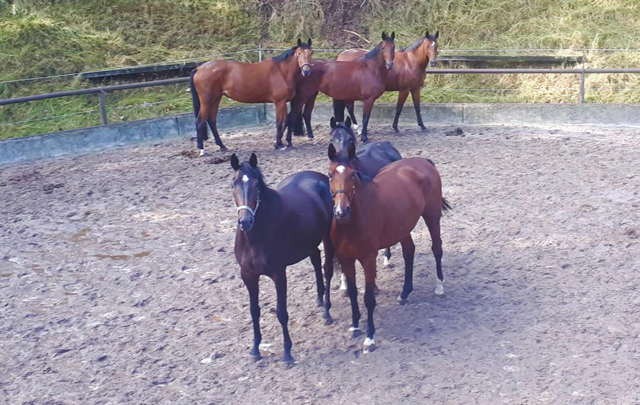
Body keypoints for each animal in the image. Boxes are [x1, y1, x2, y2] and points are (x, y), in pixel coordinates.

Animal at [234, 153, 338, 362]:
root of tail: (321, 178)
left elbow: (281, 313)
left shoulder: (278, 274)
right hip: (310, 242)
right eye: (233, 184)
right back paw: (319, 297)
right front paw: (255, 349)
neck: (254, 240)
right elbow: (254, 311)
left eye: (257, 186)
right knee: (316, 260)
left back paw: (326, 310)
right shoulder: (248, 275)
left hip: (326, 236)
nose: (245, 221)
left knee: (327, 269)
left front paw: (288, 353)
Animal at [328, 117, 402, 290]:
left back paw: (387, 258)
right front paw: (344, 282)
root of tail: (387, 144)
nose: (340, 160)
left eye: (350, 140)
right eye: (332, 140)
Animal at [328, 144, 452, 352]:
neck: (353, 222)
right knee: (409, 251)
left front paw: (370, 337)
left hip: (432, 216)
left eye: (352, 175)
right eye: (330, 175)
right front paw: (355, 325)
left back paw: (440, 286)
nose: (341, 211)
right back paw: (404, 293)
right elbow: (352, 293)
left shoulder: (368, 259)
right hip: (403, 228)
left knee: (437, 248)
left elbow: (369, 298)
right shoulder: (346, 259)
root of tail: (423, 162)